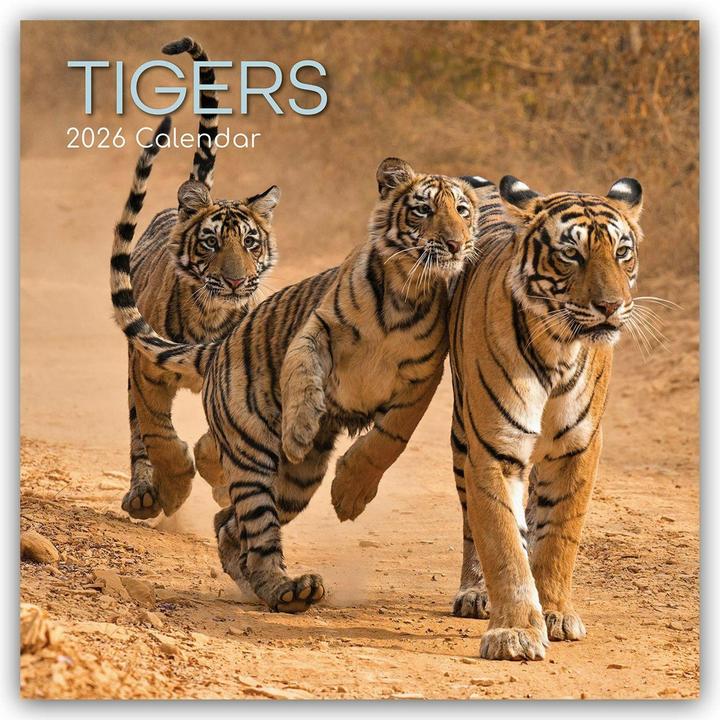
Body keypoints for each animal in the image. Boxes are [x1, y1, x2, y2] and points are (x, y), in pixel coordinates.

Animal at [111, 122, 481, 612]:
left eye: (462, 211)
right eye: (424, 210)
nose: (456, 244)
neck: (406, 289)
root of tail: (219, 347)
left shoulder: (424, 377)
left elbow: (389, 438)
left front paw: (350, 495)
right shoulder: (317, 326)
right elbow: (303, 371)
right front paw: (301, 429)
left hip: (296, 483)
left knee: (231, 526)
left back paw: (275, 585)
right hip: (252, 454)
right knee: (252, 525)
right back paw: (286, 588)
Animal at [120, 36, 280, 520]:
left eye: (250, 242)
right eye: (211, 243)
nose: (235, 283)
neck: (211, 314)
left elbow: (219, 440)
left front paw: (218, 479)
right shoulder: (147, 369)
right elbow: (158, 435)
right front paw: (174, 489)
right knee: (138, 432)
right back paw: (145, 494)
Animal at [330, 173, 644, 661]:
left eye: (622, 252)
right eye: (571, 254)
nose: (611, 306)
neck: (559, 347)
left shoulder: (578, 448)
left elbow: (559, 534)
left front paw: (555, 613)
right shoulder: (494, 447)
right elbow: (501, 541)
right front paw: (514, 632)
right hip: (464, 435)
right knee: (473, 522)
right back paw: (476, 592)